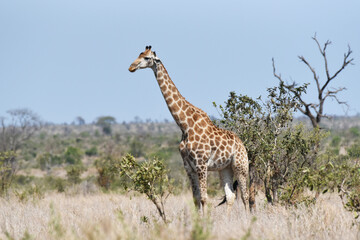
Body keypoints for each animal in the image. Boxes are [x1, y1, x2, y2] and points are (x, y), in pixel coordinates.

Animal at [129, 46, 250, 214]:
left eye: (147, 58)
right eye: (139, 54)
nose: (131, 67)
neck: (185, 126)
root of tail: (242, 145)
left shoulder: (201, 164)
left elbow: (204, 198)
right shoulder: (188, 167)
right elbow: (196, 198)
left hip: (240, 166)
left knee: (245, 196)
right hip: (225, 168)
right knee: (231, 196)